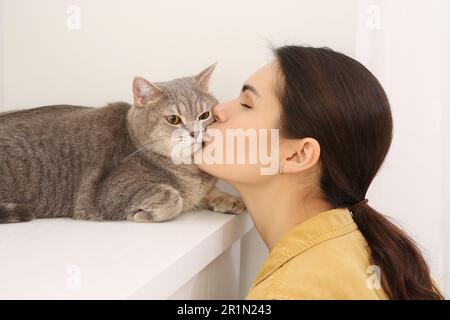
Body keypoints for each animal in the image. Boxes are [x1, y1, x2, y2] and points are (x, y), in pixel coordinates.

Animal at [0, 63, 246, 224]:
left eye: (204, 115)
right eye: (173, 119)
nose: (195, 132)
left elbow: (208, 191)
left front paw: (230, 199)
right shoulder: (111, 192)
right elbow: (174, 197)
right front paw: (143, 214)